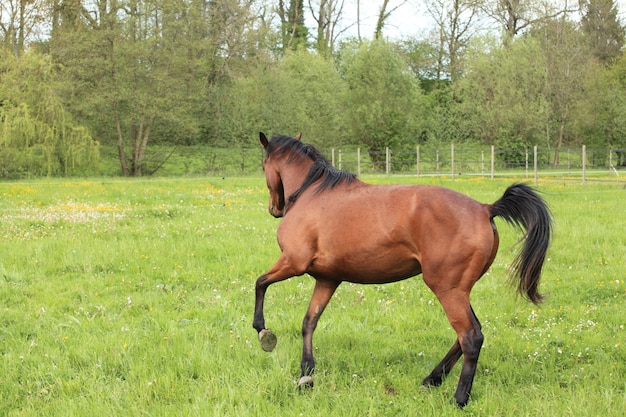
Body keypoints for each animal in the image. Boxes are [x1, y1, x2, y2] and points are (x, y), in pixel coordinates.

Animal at [251, 132, 548, 404]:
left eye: (263, 165)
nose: (274, 209)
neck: (312, 194)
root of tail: (486, 209)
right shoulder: (327, 279)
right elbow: (309, 322)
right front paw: (306, 372)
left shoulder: (293, 262)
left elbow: (260, 283)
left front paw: (263, 331)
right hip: (459, 290)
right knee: (468, 333)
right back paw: (433, 378)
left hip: (448, 289)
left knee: (470, 337)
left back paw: (459, 397)